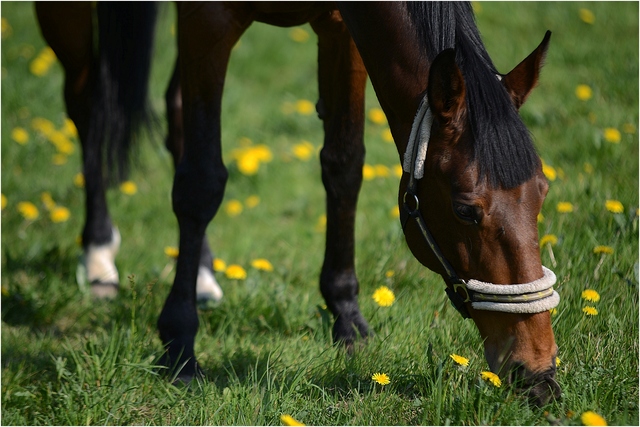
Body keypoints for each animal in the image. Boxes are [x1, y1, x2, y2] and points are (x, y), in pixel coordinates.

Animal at [37, 1, 564, 406]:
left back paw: (203, 273)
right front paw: (180, 346)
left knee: (172, 108)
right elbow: (201, 183)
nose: (538, 369)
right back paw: (99, 254)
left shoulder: (340, 25)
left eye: (542, 192)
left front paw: (347, 317)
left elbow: (344, 164)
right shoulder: (207, 18)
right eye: (464, 210)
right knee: (88, 103)